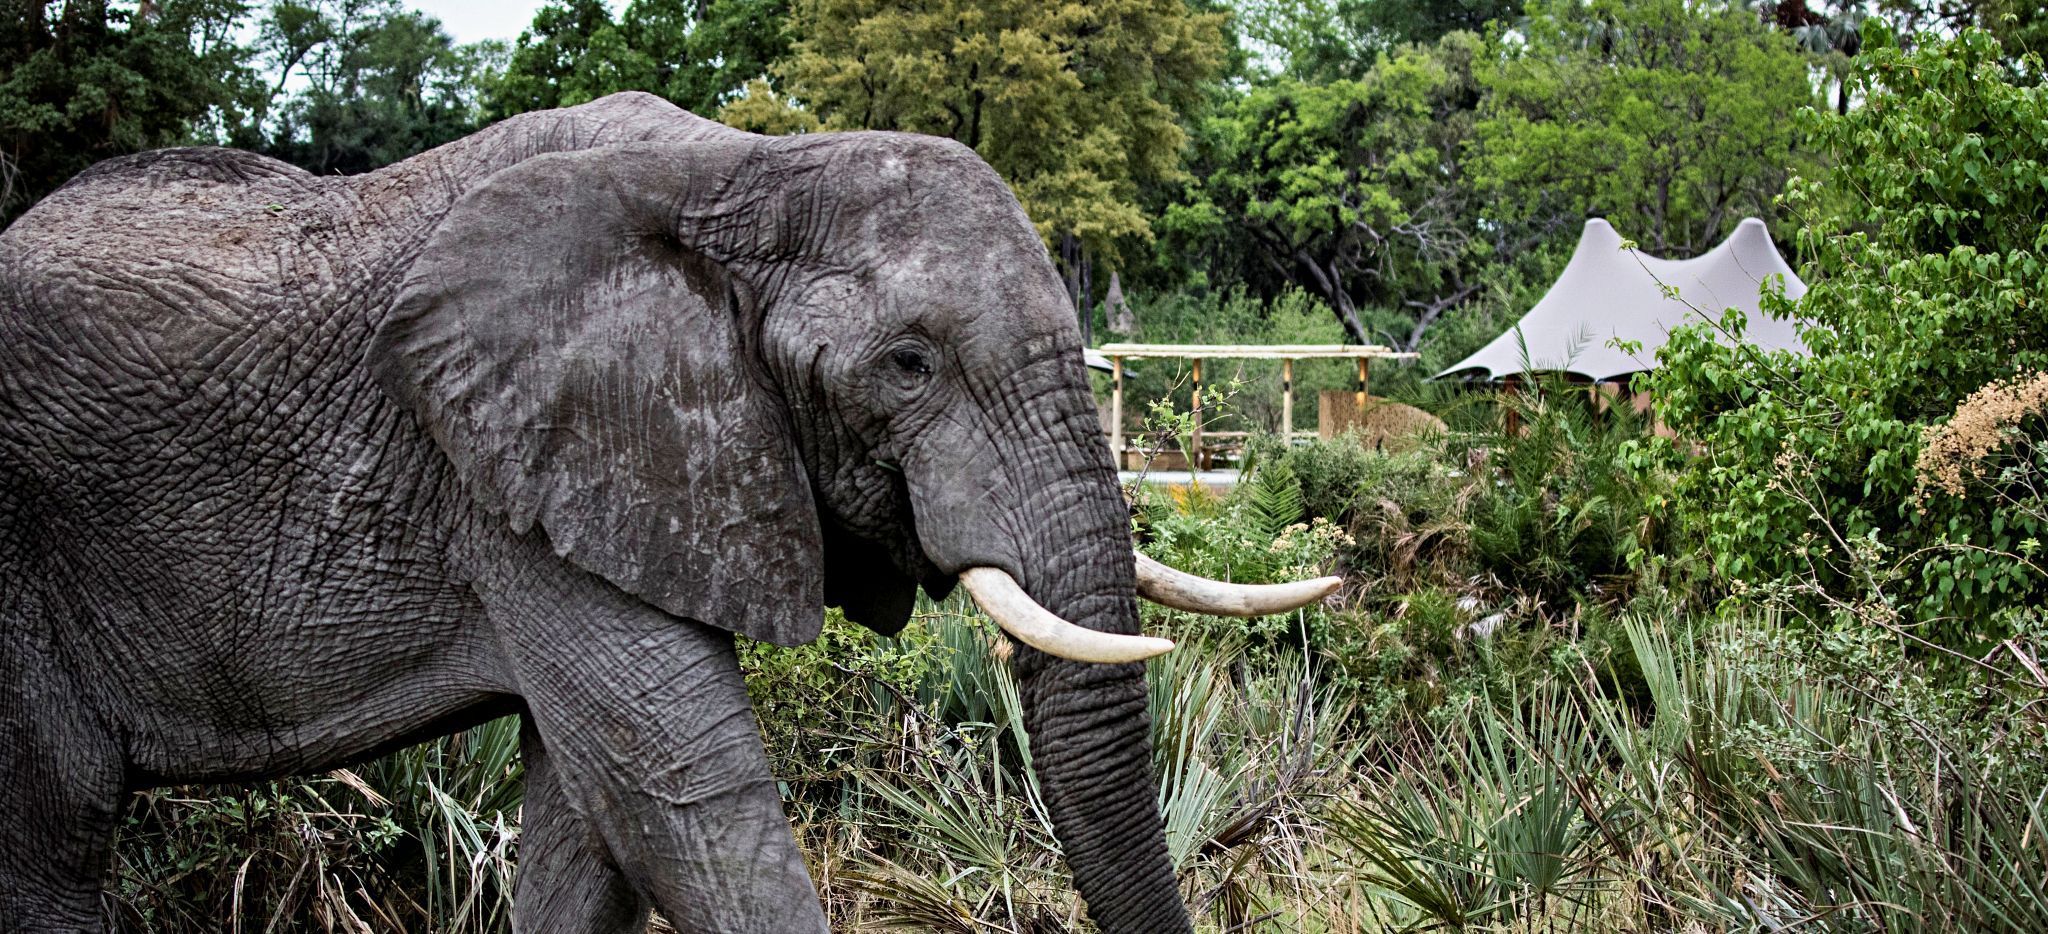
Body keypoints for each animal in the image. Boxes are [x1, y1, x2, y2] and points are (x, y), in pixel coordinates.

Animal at [0, 91, 1327, 929]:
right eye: (908, 365)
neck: (750, 171)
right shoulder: (512, 469)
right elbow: (681, 792)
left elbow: (591, 828)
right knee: (51, 842)